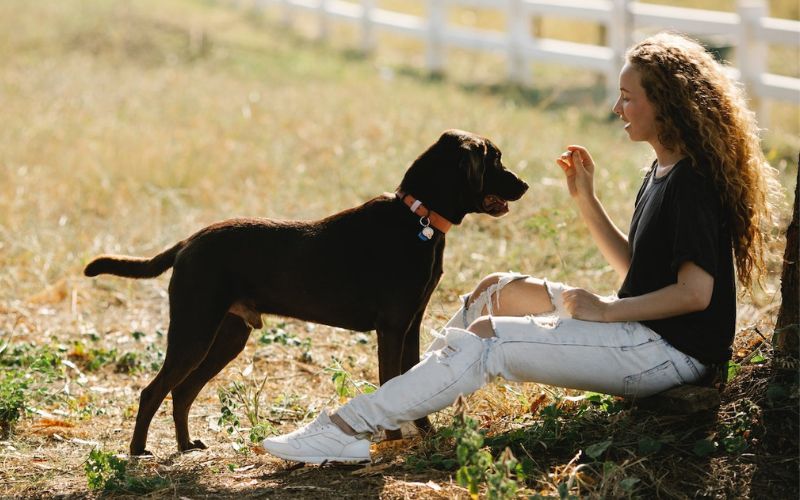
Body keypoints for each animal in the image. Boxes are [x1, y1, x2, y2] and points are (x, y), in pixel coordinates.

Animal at [84, 130, 528, 458]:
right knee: (153, 390)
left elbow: (411, 382)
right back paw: (139, 452)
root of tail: (187, 243)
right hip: (195, 329)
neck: (418, 218)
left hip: (227, 337)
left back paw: (185, 446)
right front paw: (392, 443)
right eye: (496, 159)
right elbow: (390, 382)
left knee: (182, 390)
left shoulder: (410, 325)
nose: (524, 184)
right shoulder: (391, 328)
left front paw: (425, 433)